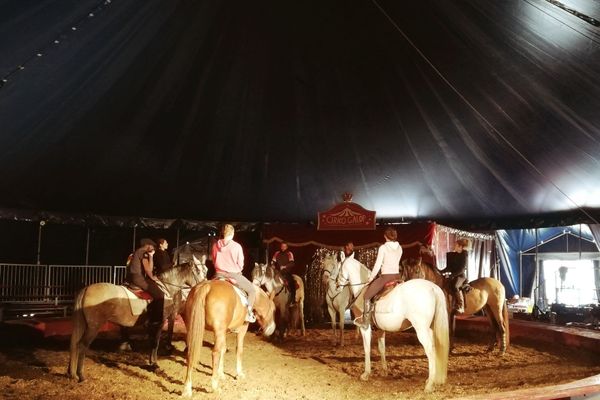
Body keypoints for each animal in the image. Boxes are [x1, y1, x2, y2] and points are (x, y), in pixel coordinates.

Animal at [67, 262, 204, 382]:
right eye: (198, 271)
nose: (202, 284)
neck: (166, 288)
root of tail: (86, 289)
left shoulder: (150, 325)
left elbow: (152, 343)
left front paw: (151, 362)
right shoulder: (159, 323)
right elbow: (155, 343)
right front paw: (154, 364)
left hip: (84, 325)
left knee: (75, 344)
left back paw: (71, 373)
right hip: (93, 327)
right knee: (82, 345)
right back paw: (81, 375)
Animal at [338, 256, 450, 390]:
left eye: (339, 267)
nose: (337, 285)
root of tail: (433, 288)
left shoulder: (365, 328)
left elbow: (367, 349)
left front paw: (366, 374)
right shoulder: (380, 329)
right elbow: (382, 348)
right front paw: (384, 371)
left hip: (422, 330)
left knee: (430, 351)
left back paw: (429, 385)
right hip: (431, 328)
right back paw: (430, 380)